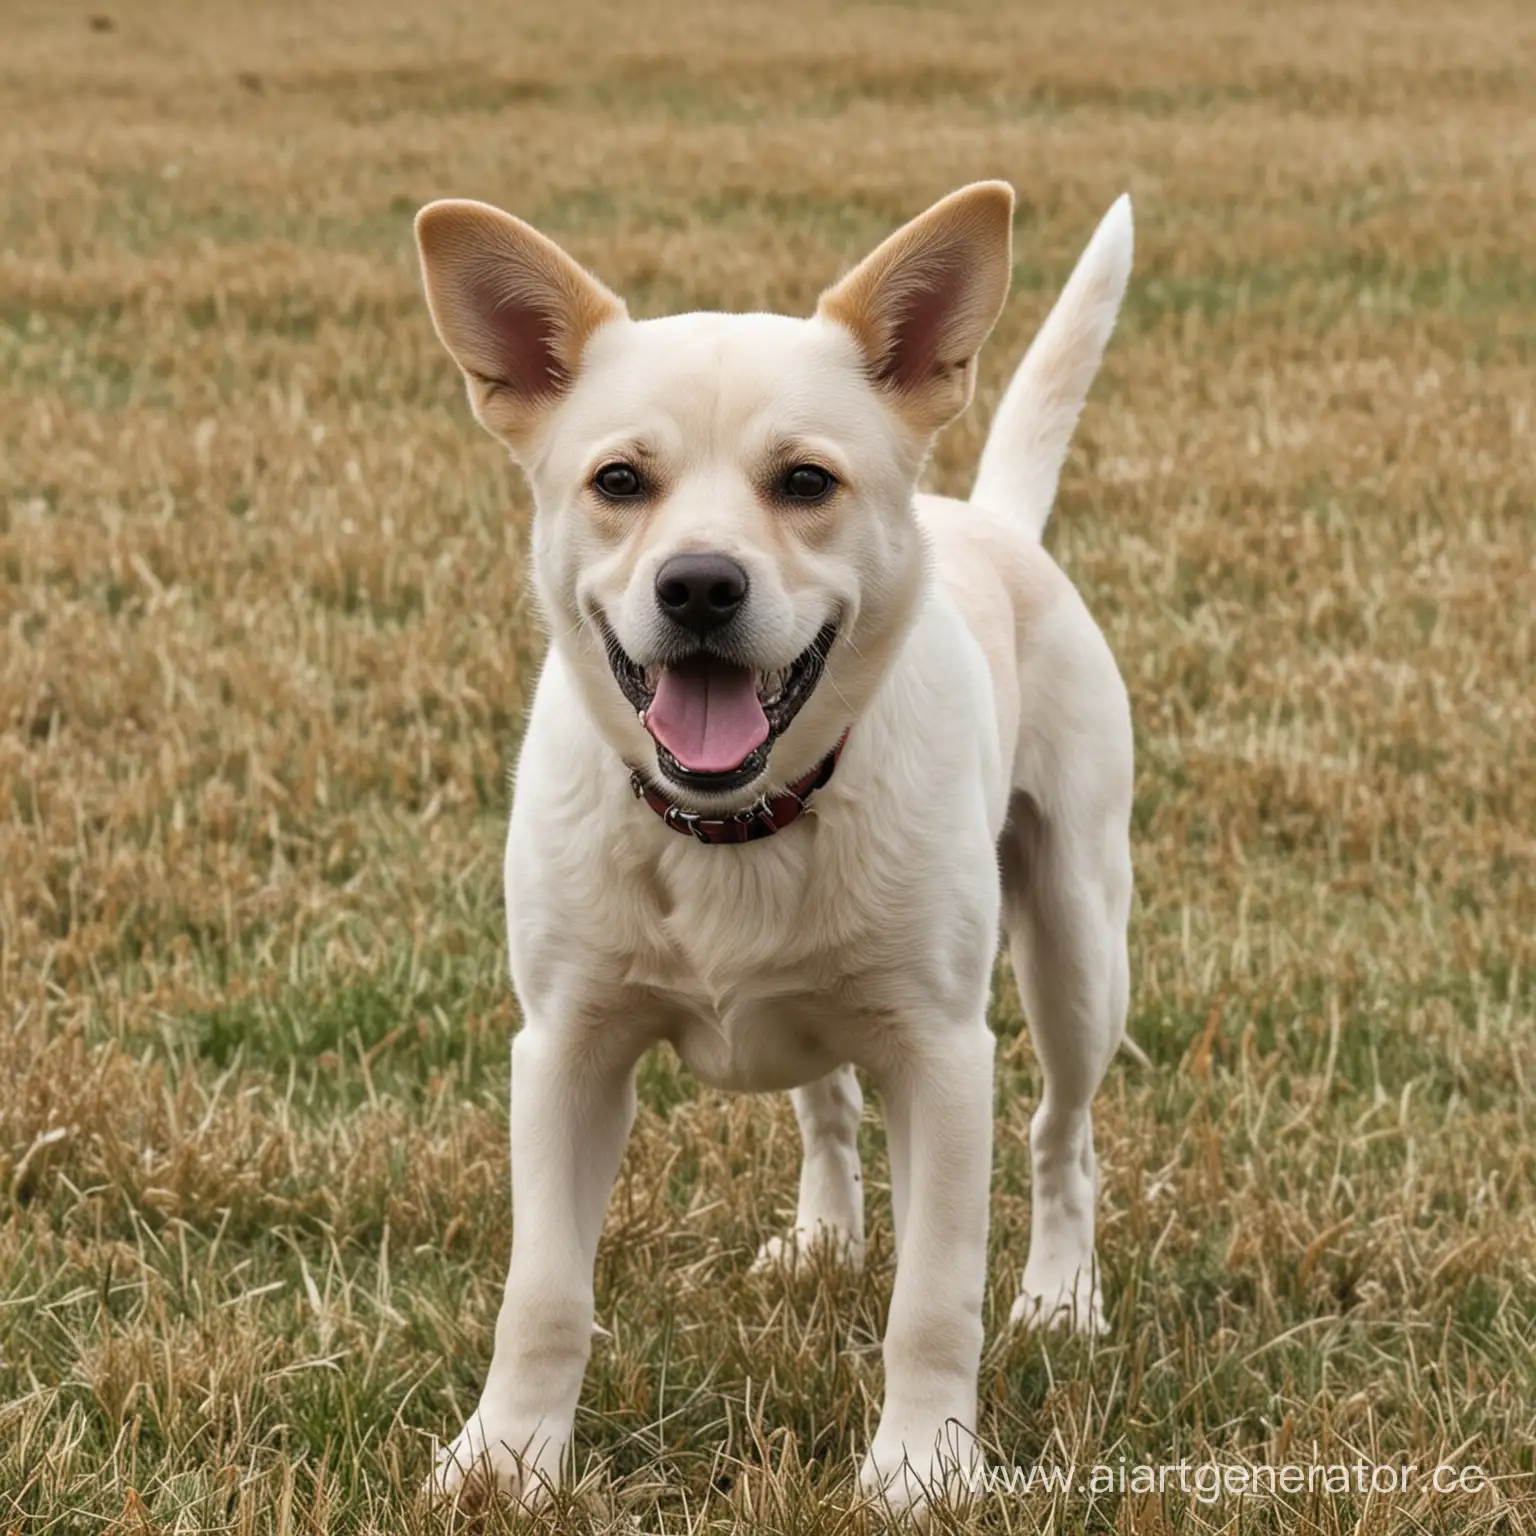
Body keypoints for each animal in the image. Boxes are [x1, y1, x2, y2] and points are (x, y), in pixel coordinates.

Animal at [414, 179, 1136, 1511]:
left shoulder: (946, 1057)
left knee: (1063, 1136)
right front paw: (504, 1459)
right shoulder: (563, 1051)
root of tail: (990, 520)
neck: (732, 822)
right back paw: (823, 1241)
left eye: (804, 481)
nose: (700, 585)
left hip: (1075, 949)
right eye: (618, 479)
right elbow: (542, 1294)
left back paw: (1061, 1297)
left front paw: (923, 1467)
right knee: (827, 1104)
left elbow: (934, 1301)